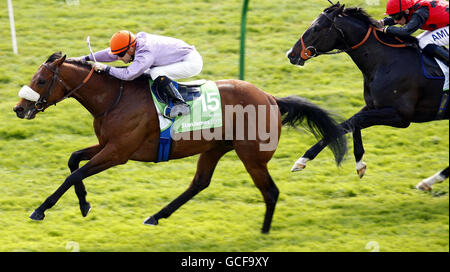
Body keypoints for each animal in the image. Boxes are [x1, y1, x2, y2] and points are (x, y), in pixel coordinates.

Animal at [12, 52, 346, 233]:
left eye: (41, 80)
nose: (18, 108)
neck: (114, 98)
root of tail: (271, 98)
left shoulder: (118, 152)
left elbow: (75, 173)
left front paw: (41, 209)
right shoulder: (107, 145)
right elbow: (73, 160)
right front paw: (83, 204)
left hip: (251, 155)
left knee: (270, 192)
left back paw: (264, 233)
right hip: (215, 148)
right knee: (199, 183)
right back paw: (156, 216)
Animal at [286, 2, 448, 189]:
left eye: (316, 28)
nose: (291, 54)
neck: (385, 61)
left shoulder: (401, 116)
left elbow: (354, 121)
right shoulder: (373, 107)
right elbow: (349, 123)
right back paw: (429, 181)